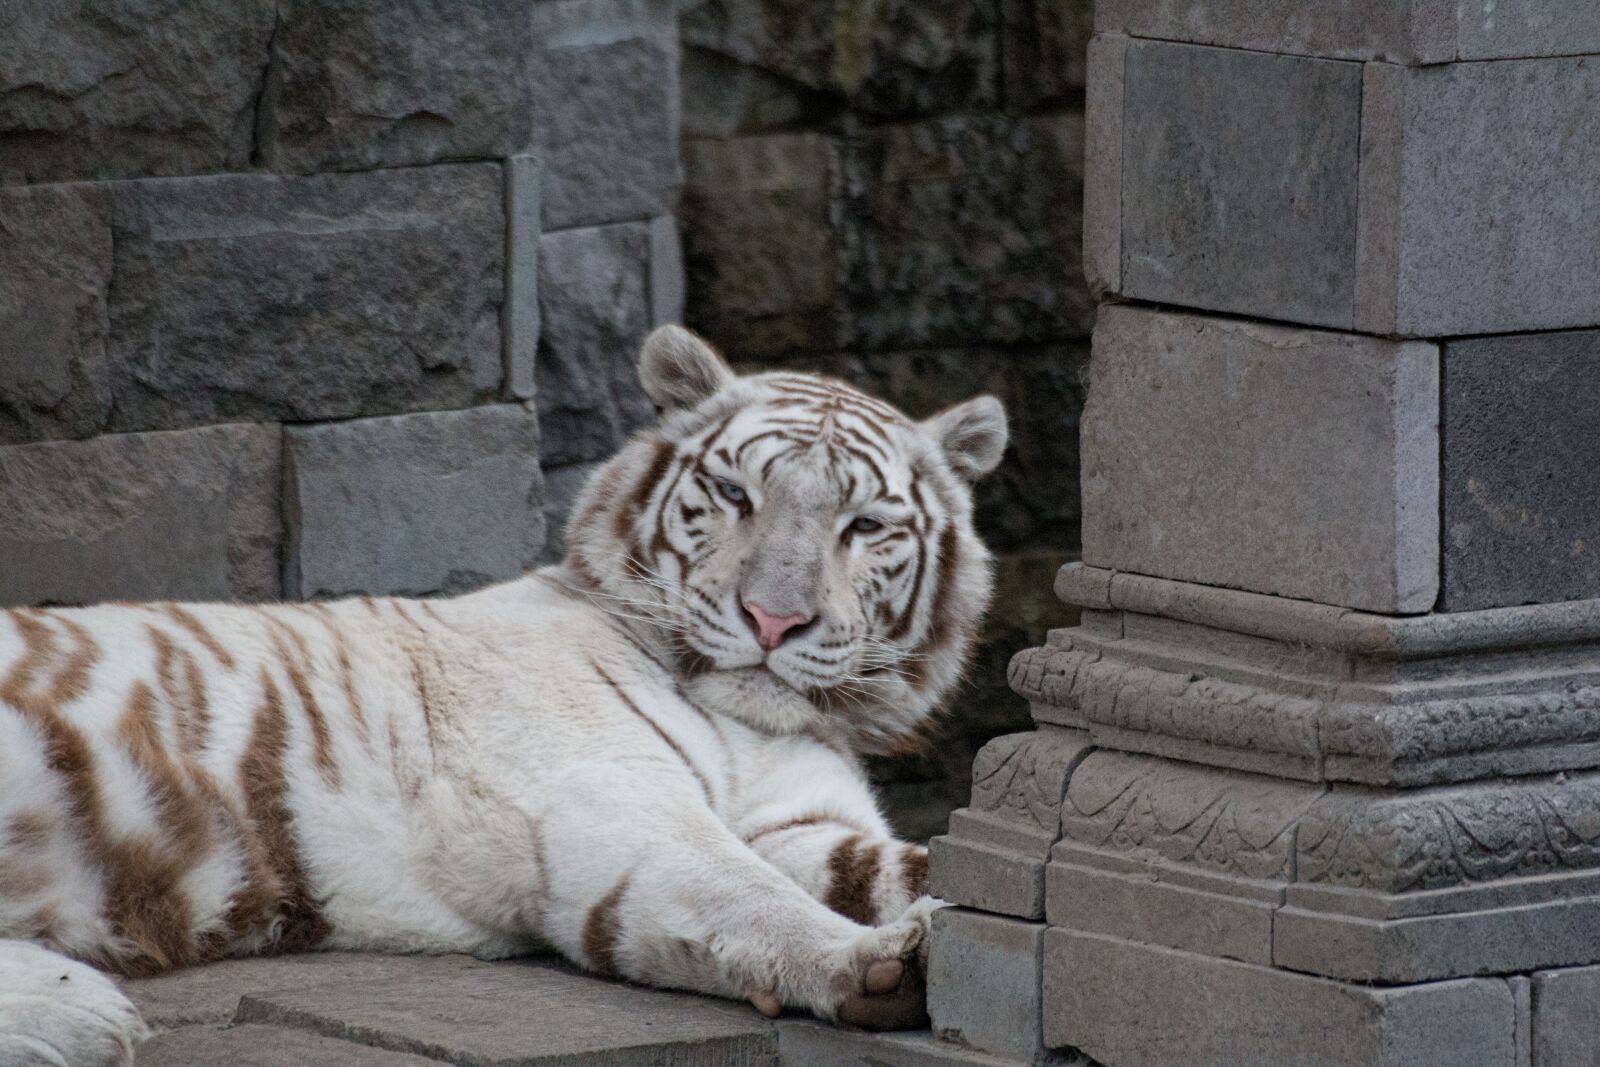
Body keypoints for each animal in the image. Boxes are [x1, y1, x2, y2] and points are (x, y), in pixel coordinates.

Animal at [0, 325, 1008, 1065]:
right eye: (732, 493)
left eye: (864, 525)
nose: (772, 619)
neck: (756, 718)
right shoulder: (610, 795)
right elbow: (747, 894)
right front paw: (884, 961)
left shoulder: (801, 821)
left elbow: (897, 864)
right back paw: (86, 1017)